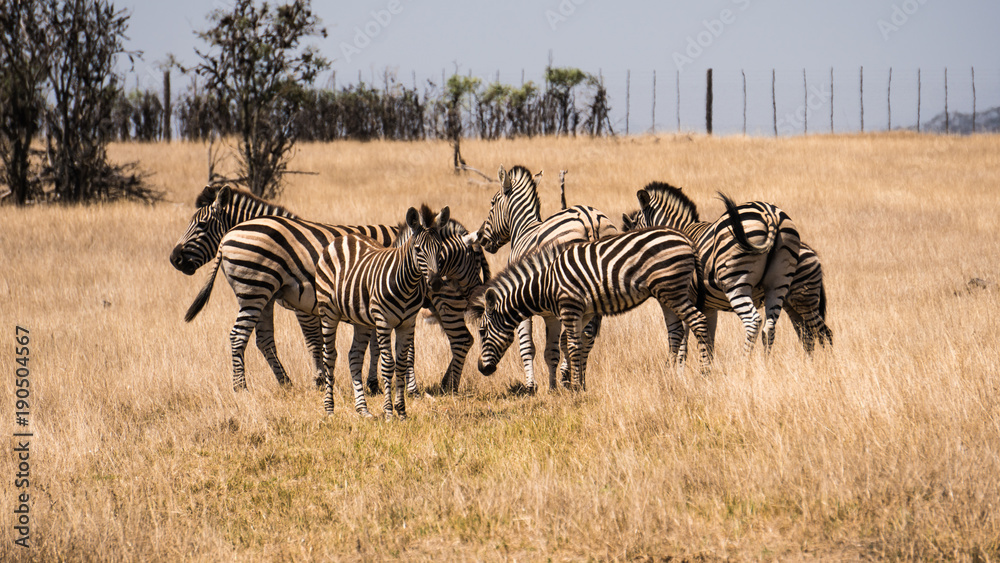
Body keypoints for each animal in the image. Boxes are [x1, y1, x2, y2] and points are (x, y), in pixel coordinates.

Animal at [170, 184, 487, 392]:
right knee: (252, 338)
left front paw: (333, 380)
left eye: (201, 225)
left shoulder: (303, 301)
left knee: (462, 340)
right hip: (255, 292)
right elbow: (317, 342)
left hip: (446, 299)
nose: (174, 259)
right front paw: (330, 380)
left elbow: (319, 342)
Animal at [315, 205, 449, 419]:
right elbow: (388, 365)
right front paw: (388, 411)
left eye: (440, 249)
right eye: (418, 249)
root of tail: (342, 238)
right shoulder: (384, 322)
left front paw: (401, 411)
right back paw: (329, 409)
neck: (407, 285)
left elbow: (402, 364)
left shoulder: (407, 324)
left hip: (360, 320)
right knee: (330, 357)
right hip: (328, 311)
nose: (435, 283)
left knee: (354, 356)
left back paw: (363, 409)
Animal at [467, 228, 712, 390]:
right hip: (664, 294)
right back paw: (667, 373)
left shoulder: (570, 307)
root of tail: (686, 239)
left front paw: (575, 388)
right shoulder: (583, 312)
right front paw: (578, 384)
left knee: (699, 321)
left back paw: (705, 371)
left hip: (672, 290)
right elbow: (575, 344)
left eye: (482, 331)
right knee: (676, 332)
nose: (481, 368)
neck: (546, 283)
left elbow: (573, 346)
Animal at [476, 164, 619, 392]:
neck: (523, 228)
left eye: (492, 203)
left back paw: (570, 379)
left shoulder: (522, 303)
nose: (480, 237)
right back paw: (579, 380)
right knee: (585, 337)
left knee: (571, 338)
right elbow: (552, 349)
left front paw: (532, 385)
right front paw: (554, 385)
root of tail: (589, 219)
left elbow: (529, 347)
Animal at [623, 182, 831, 353]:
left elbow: (683, 342)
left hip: (751, 286)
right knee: (792, 333)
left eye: (634, 226)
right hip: (783, 291)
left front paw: (679, 373)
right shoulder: (708, 307)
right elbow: (708, 342)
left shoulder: (685, 298)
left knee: (818, 332)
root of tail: (770, 214)